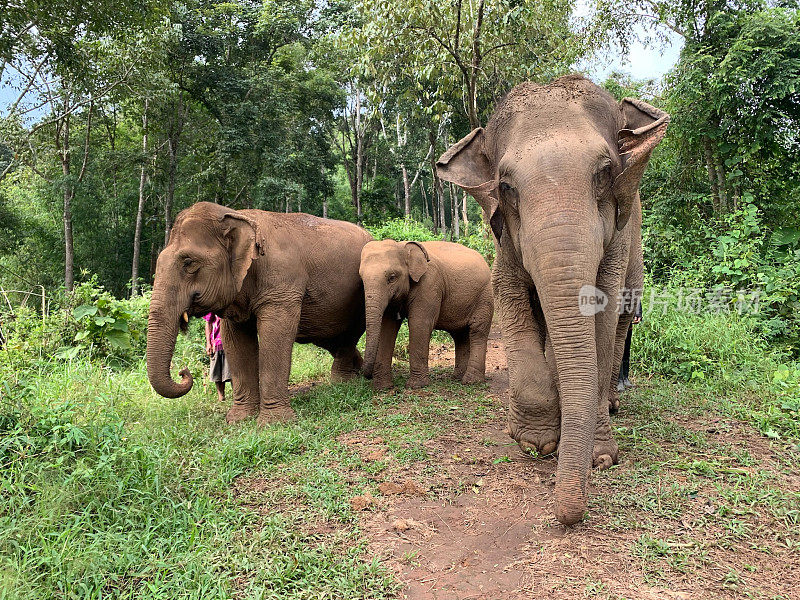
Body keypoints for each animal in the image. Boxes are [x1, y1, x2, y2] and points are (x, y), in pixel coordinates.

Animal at [147, 202, 372, 426]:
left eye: (189, 263)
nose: (183, 372)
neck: (237, 216)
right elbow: (236, 342)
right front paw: (239, 419)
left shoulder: (282, 284)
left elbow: (274, 338)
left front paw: (274, 422)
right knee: (330, 339)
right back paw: (357, 370)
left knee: (349, 336)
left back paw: (343, 382)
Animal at [358, 239, 494, 390]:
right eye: (361, 278)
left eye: (392, 278)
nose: (366, 375)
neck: (403, 246)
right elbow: (387, 327)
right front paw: (383, 387)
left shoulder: (429, 283)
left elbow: (419, 323)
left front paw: (416, 386)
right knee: (460, 335)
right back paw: (457, 378)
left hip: (485, 296)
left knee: (478, 331)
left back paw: (471, 381)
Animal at [438, 75, 668, 524]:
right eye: (506, 187)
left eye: (604, 173)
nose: (566, 517)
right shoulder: (505, 245)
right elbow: (509, 295)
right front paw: (535, 441)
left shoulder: (618, 239)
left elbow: (603, 311)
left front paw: (599, 456)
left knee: (620, 322)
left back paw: (610, 402)